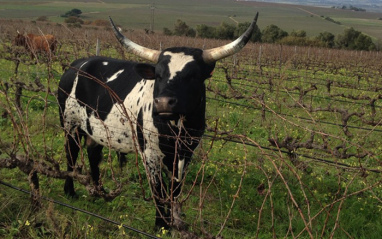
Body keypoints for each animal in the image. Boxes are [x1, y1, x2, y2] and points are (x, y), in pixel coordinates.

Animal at [57, 13, 260, 230]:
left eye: (193, 76)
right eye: (158, 75)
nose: (163, 102)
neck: (177, 129)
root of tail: (77, 64)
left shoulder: (185, 155)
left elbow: (175, 189)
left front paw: (174, 222)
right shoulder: (150, 155)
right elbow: (159, 190)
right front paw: (161, 224)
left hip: (96, 130)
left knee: (93, 154)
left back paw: (98, 192)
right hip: (70, 124)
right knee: (71, 155)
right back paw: (70, 191)